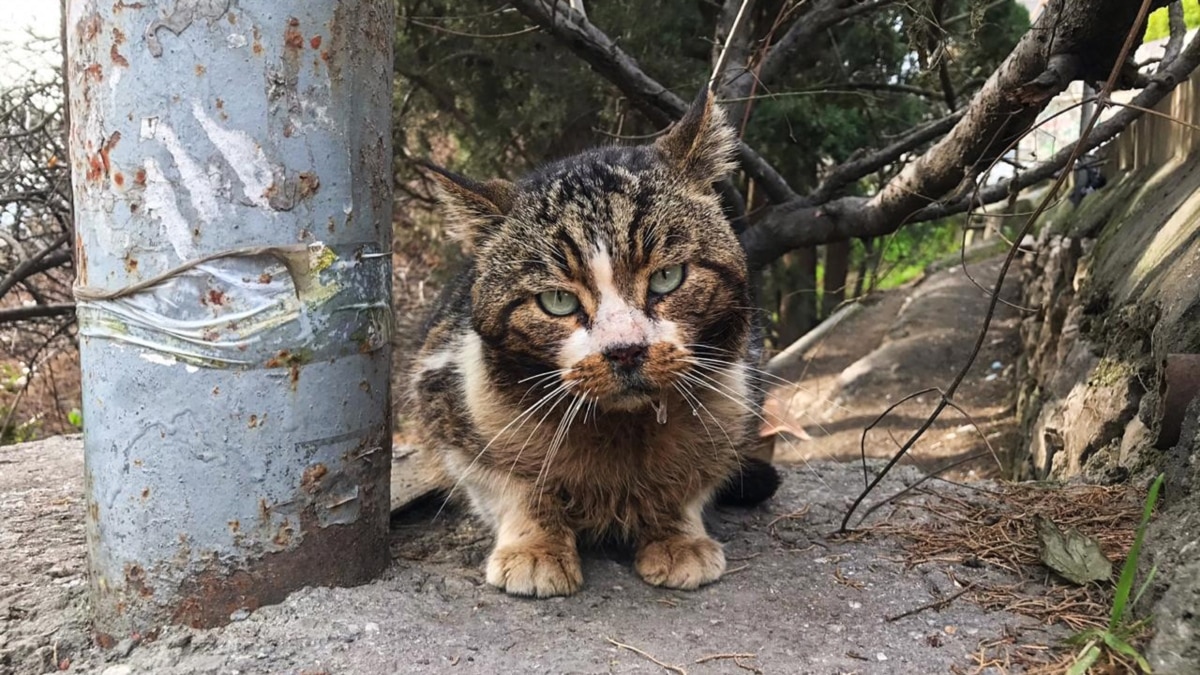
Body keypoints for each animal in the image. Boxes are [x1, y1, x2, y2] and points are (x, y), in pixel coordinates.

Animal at [410, 90, 777, 593]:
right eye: (558, 300)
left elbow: (692, 479)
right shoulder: (451, 399)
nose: (625, 350)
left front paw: (678, 538)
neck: (621, 431)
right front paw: (535, 548)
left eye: (667, 276)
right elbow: (513, 487)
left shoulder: (736, 394)